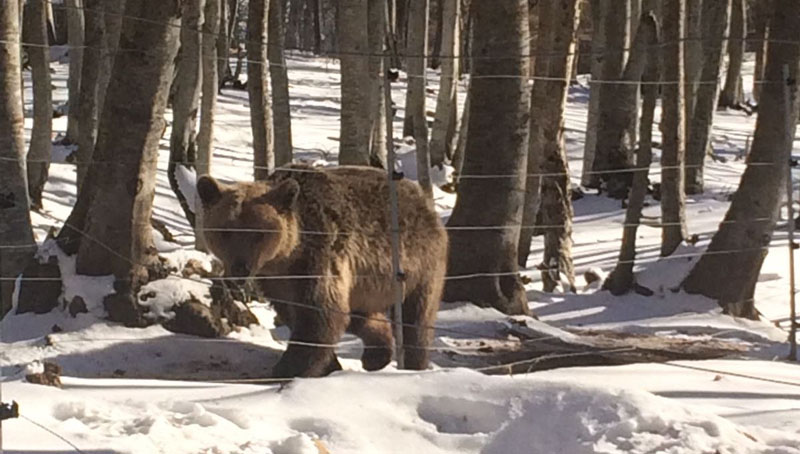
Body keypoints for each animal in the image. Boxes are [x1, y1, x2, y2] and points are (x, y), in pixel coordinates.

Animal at [196, 165, 446, 378]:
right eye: (225, 231)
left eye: (259, 233)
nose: (241, 267)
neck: (288, 255)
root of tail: (420, 196)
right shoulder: (276, 280)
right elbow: (297, 313)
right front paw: (329, 365)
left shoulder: (317, 259)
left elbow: (319, 314)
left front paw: (287, 370)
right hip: (368, 282)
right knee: (359, 314)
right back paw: (376, 354)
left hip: (420, 265)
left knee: (417, 318)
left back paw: (413, 364)